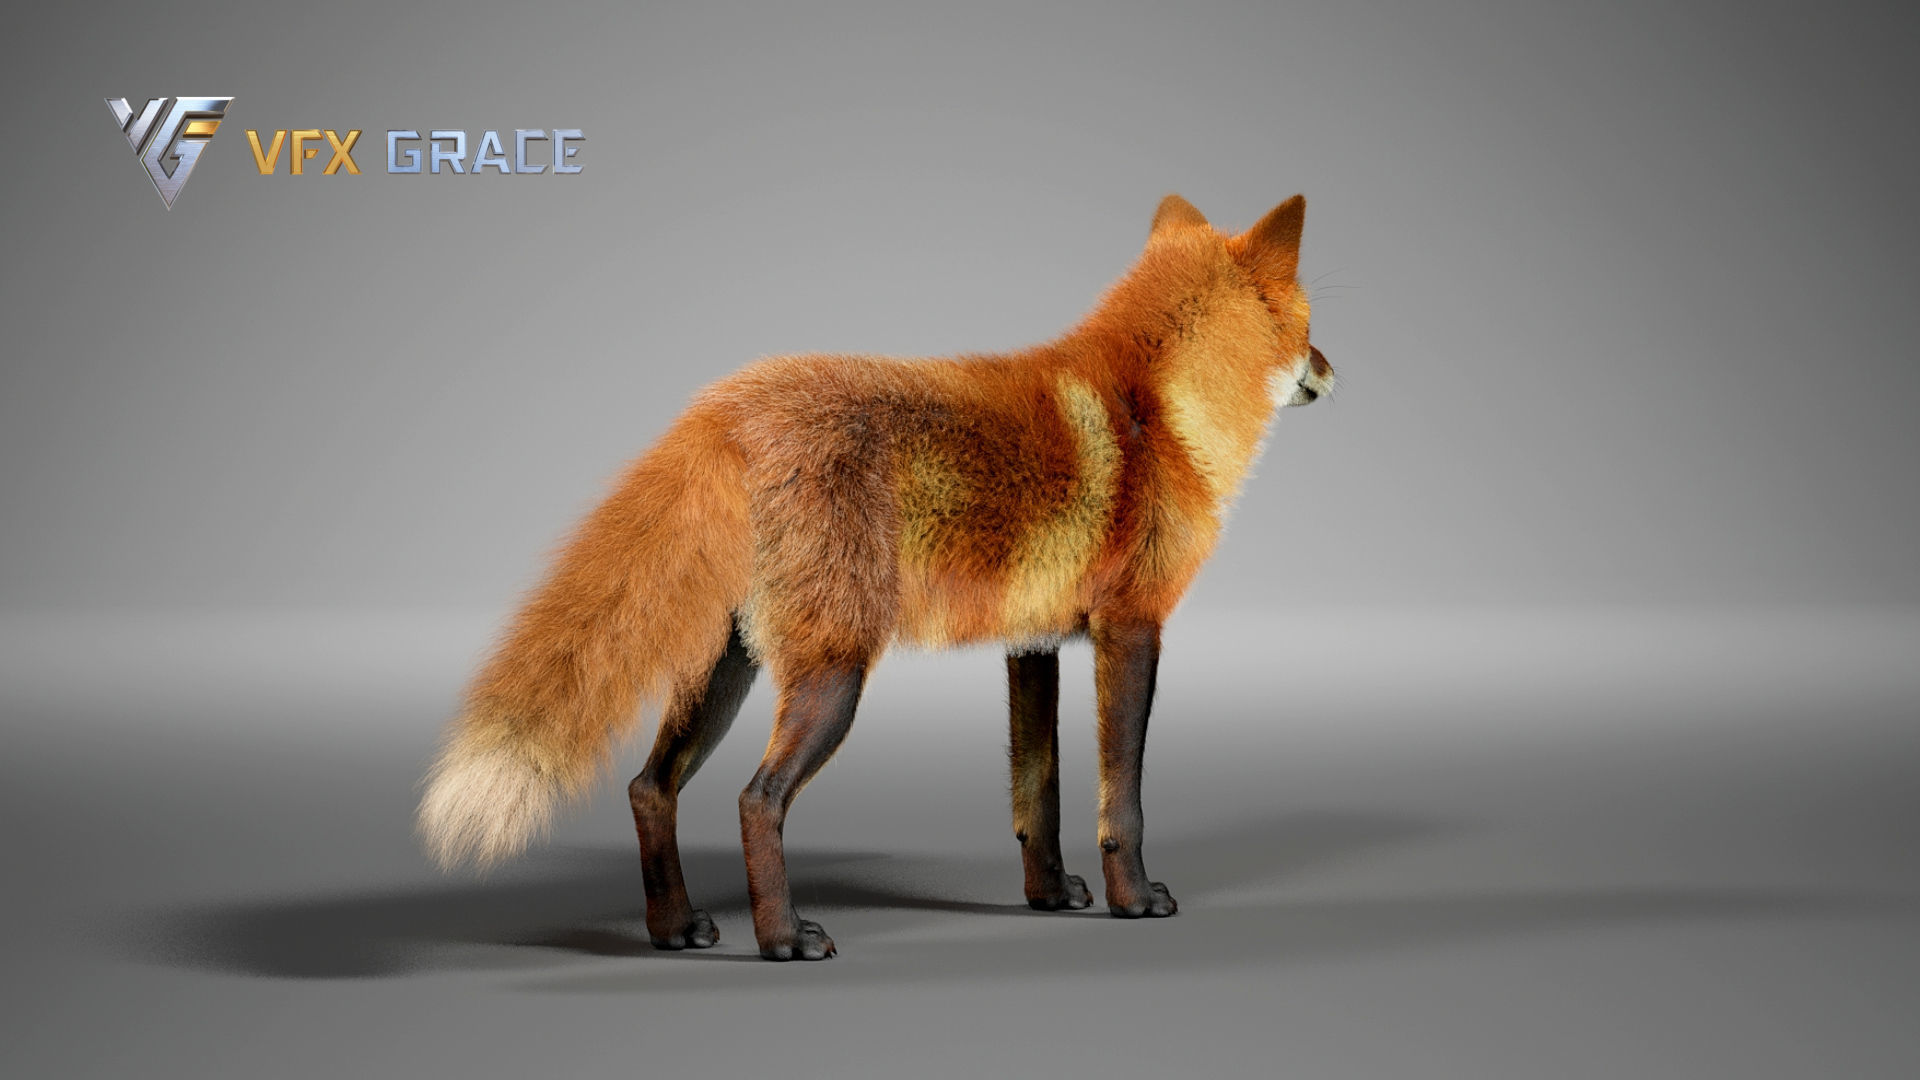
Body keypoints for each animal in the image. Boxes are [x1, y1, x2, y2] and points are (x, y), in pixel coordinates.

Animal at [417, 192, 1335, 960]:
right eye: (1309, 324)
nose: (1333, 370)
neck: (1163, 410)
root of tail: (726, 404)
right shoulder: (1131, 629)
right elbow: (1125, 801)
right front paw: (1133, 899)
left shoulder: (1031, 644)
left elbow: (1035, 797)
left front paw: (1047, 897)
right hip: (834, 674)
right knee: (757, 799)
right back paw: (783, 939)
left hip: (726, 673)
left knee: (650, 788)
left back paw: (673, 929)